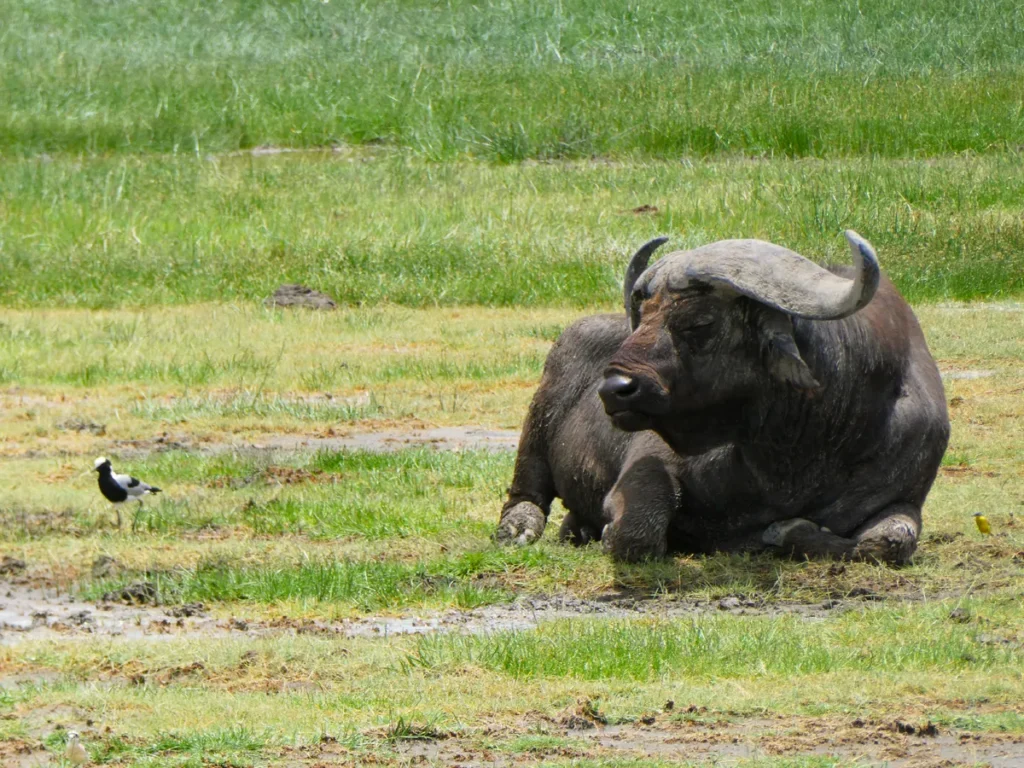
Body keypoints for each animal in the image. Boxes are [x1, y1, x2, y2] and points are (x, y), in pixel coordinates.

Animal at [495, 232, 949, 564]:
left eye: (699, 323)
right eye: (644, 317)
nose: (614, 388)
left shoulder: (905, 496)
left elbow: (888, 544)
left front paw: (786, 531)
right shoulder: (648, 462)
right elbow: (636, 534)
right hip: (539, 420)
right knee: (527, 492)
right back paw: (519, 528)